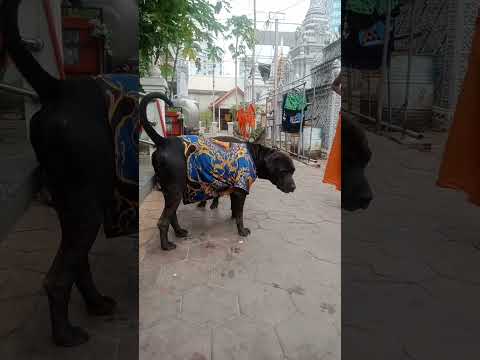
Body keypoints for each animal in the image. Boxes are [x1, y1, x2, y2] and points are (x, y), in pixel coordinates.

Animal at [2, 0, 137, 348]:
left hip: (73, 202)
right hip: (87, 203)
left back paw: (96, 304)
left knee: (78, 262)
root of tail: (58, 88)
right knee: (59, 277)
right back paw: (65, 335)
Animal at [140, 93, 296, 250]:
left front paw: (232, 218)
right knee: (163, 222)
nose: (294, 187)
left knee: (172, 216)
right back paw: (166, 245)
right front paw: (241, 231)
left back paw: (179, 232)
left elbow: (235, 209)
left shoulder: (234, 190)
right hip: (175, 192)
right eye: (284, 171)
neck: (255, 155)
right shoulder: (241, 192)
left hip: (170, 192)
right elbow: (240, 214)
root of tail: (163, 141)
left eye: (293, 171)